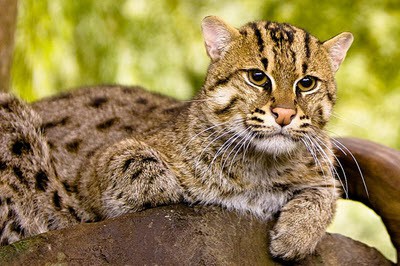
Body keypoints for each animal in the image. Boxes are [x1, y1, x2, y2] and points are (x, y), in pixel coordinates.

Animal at [0, 16, 352, 260]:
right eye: (257, 77)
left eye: (306, 83)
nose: (284, 114)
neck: (260, 167)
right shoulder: (92, 171)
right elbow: (133, 160)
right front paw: (175, 187)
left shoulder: (322, 168)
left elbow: (326, 192)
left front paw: (296, 235)